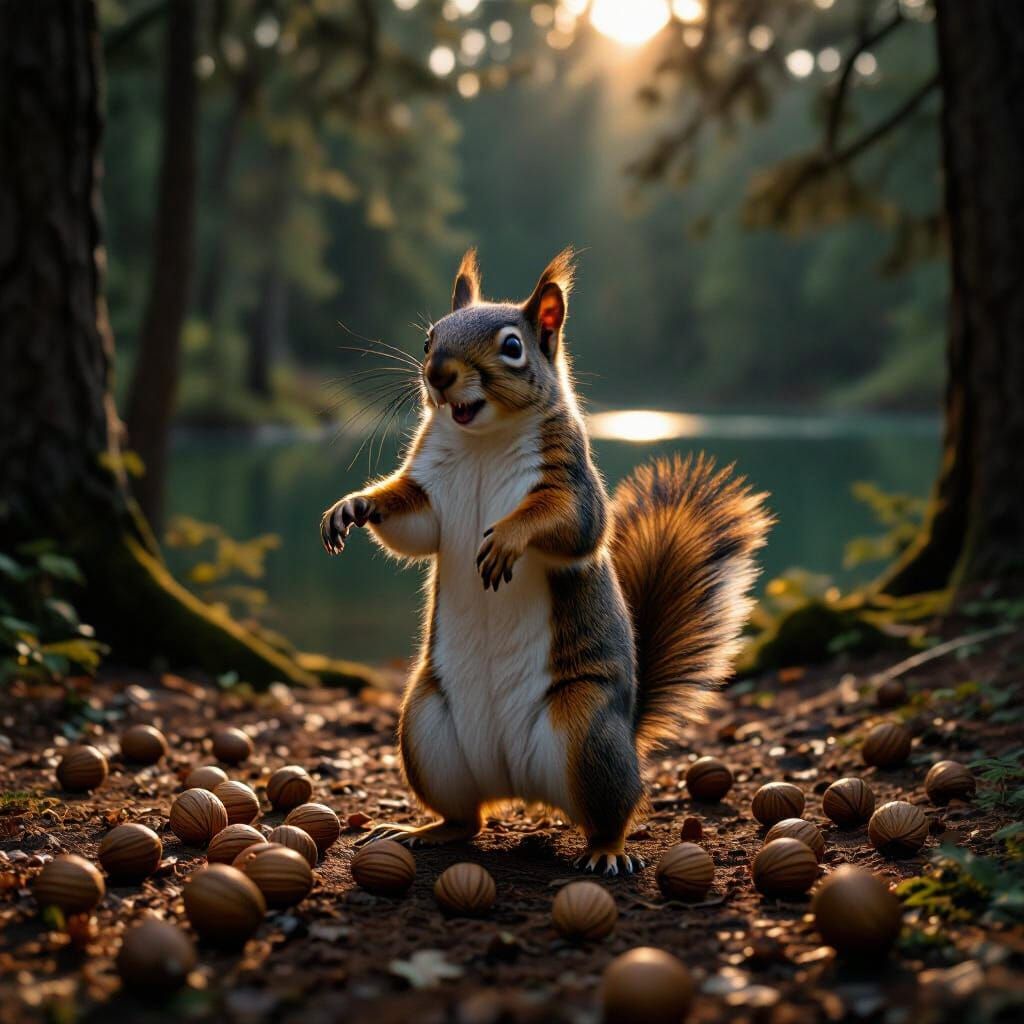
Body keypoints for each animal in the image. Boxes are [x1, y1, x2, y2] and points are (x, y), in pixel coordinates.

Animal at [321, 248, 771, 874]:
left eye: (513, 346)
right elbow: (412, 526)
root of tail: (520, 784)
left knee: (614, 809)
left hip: (587, 731)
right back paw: (426, 829)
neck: (482, 439)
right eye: (431, 335)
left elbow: (571, 523)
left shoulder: (571, 482)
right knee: (468, 818)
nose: (437, 374)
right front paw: (354, 505)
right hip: (426, 729)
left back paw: (606, 850)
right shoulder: (430, 495)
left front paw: (509, 537)